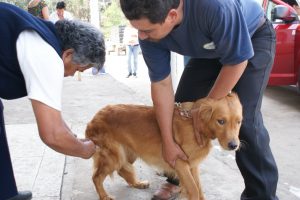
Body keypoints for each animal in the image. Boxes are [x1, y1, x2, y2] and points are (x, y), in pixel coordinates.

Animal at [85, 93, 243, 199]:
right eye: (221, 121)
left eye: (239, 121)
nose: (234, 145)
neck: (195, 125)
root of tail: (94, 118)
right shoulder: (180, 162)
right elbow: (193, 189)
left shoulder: (193, 165)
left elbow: (199, 188)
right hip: (114, 156)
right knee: (96, 177)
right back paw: (105, 196)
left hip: (129, 153)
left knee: (122, 170)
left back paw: (137, 183)